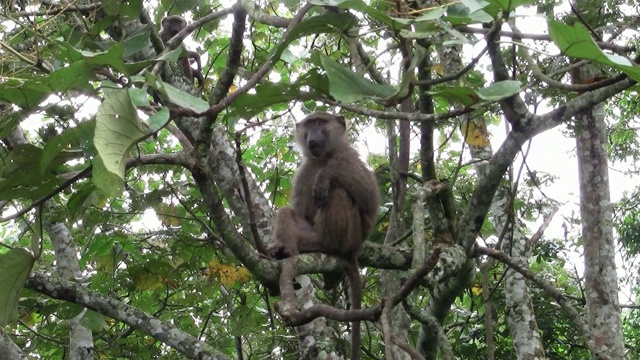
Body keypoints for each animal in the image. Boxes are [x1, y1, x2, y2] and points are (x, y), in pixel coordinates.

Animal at [266, 111, 378, 358]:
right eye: (309, 125)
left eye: (320, 123)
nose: (313, 136)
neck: (322, 158)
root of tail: (354, 247)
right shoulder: (304, 170)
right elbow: (298, 213)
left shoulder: (348, 158)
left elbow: (369, 198)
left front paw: (325, 176)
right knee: (287, 213)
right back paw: (285, 250)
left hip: (351, 234)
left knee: (337, 192)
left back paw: (330, 244)